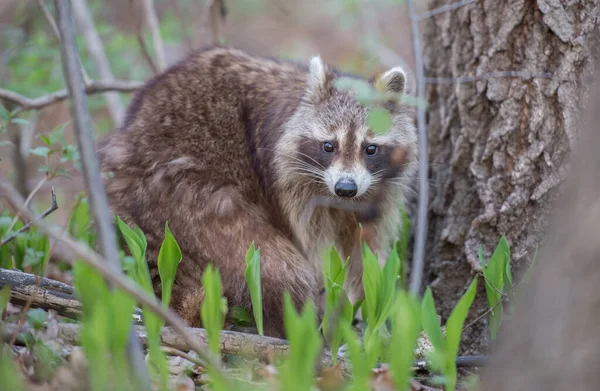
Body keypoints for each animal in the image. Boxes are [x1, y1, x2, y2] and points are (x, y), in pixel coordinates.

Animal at [98, 46, 418, 340]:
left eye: (370, 148)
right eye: (329, 146)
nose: (346, 188)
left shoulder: (378, 194)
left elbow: (365, 252)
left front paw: (365, 308)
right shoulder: (289, 183)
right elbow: (315, 252)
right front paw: (331, 302)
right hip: (184, 196)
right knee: (275, 264)